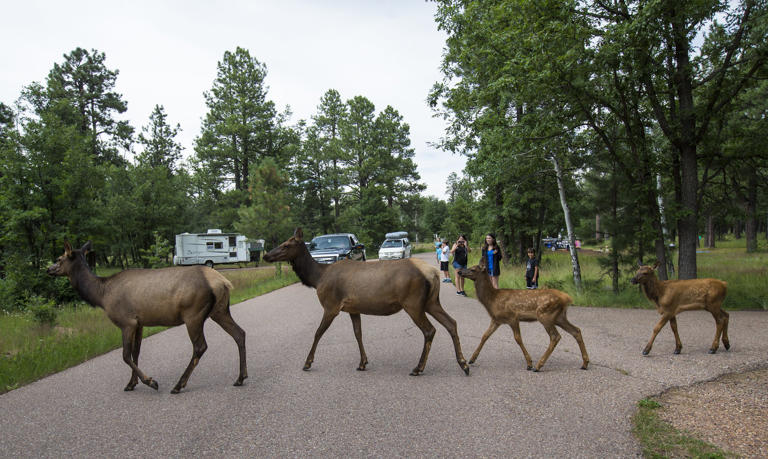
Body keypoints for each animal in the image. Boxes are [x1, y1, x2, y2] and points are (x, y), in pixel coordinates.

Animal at [47, 243, 246, 394]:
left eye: (59, 258)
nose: (48, 269)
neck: (101, 296)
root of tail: (223, 281)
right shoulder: (139, 323)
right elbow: (136, 353)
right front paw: (131, 383)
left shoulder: (126, 322)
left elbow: (126, 355)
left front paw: (150, 381)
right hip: (219, 311)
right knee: (239, 333)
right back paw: (240, 377)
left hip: (193, 314)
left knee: (200, 346)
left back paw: (178, 385)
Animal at [260, 230, 472, 378]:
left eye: (287, 244)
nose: (266, 256)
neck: (317, 278)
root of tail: (432, 272)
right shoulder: (353, 309)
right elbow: (358, 333)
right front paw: (363, 362)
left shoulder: (331, 305)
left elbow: (318, 333)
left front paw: (307, 362)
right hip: (431, 301)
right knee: (451, 323)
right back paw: (464, 363)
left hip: (412, 303)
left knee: (430, 330)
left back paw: (418, 368)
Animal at [460, 264, 592, 372]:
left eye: (473, 269)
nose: (460, 271)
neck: (492, 300)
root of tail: (567, 298)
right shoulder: (496, 320)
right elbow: (485, 336)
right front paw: (472, 359)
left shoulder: (512, 317)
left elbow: (518, 338)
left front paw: (529, 363)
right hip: (560, 317)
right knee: (576, 330)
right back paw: (585, 363)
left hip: (545, 314)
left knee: (555, 336)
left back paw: (538, 366)